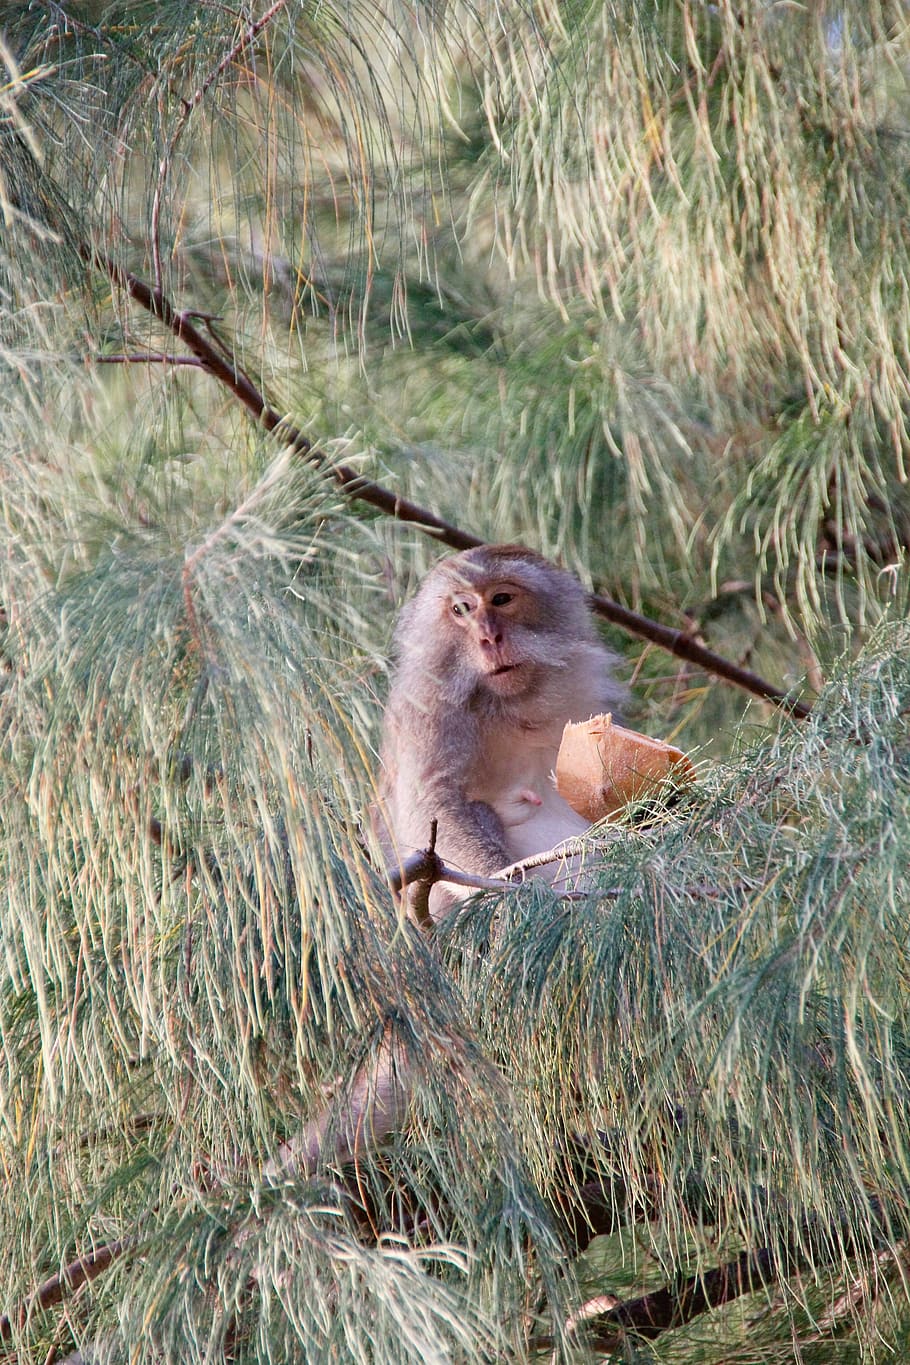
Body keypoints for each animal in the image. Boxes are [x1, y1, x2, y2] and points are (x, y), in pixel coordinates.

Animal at [377, 544, 627, 915]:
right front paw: (513, 893)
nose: (488, 637)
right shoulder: (425, 708)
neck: (509, 705)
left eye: (502, 598)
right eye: (462, 609)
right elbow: (433, 805)